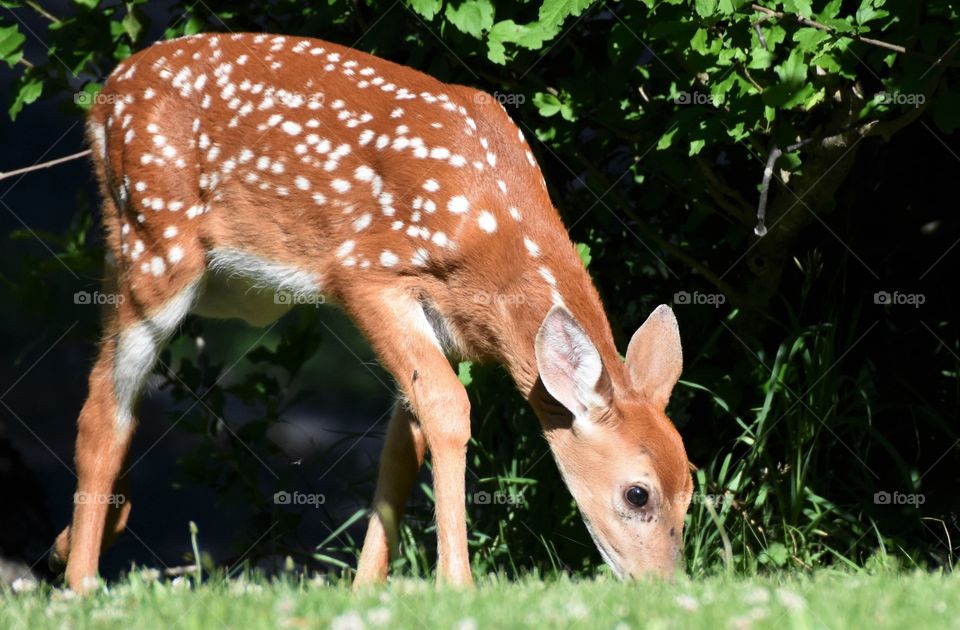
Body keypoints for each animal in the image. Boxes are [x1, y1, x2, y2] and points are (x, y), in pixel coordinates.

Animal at [50, 29, 688, 596]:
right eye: (637, 494)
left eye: (690, 484)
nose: (661, 586)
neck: (490, 227)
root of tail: (105, 94)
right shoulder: (365, 270)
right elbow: (448, 408)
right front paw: (455, 584)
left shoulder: (440, 321)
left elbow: (403, 447)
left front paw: (366, 590)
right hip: (159, 246)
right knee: (102, 404)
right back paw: (82, 582)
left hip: (181, 269)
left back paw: (76, 542)